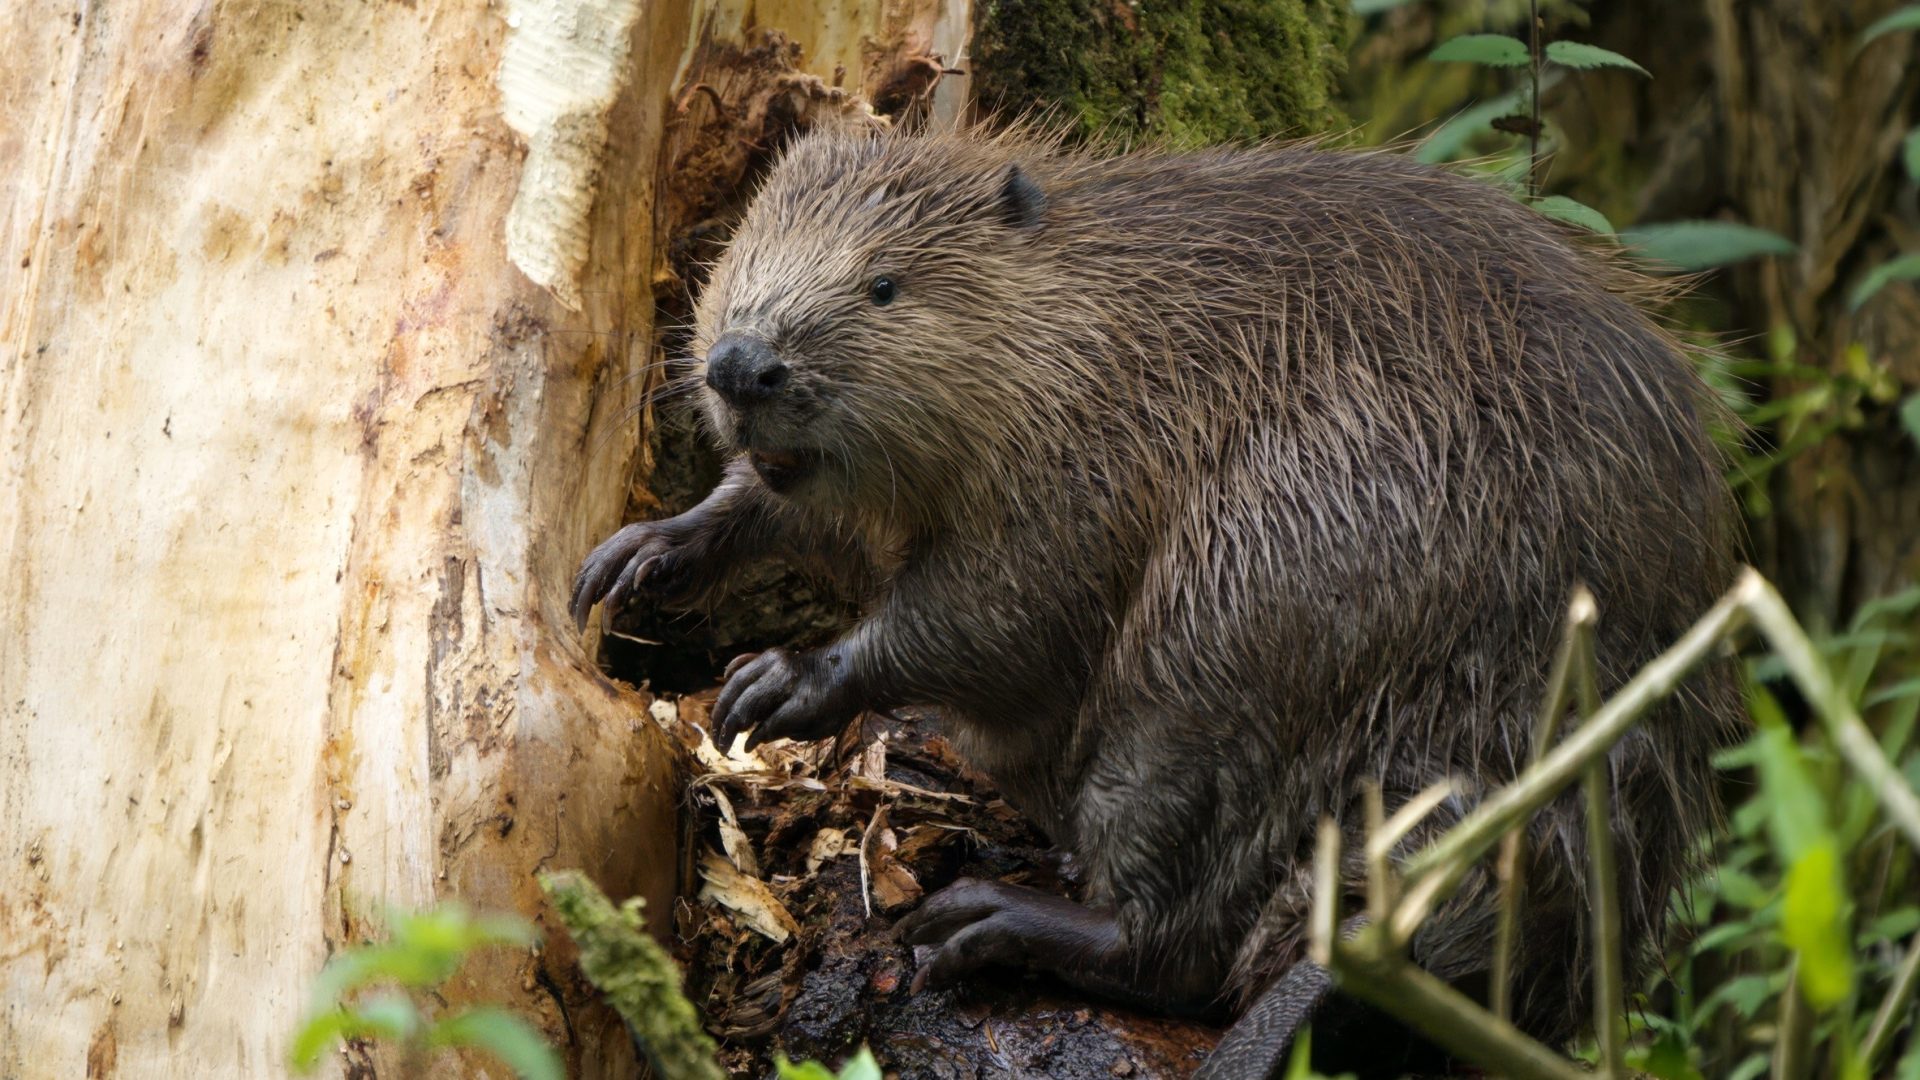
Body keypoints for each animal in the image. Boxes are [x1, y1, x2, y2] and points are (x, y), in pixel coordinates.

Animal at [568, 127, 1743, 1076]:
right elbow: (789, 511)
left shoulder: (1088, 452)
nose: (741, 364)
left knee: (1177, 941)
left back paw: (986, 914)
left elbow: (998, 606)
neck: (1094, 316)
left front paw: (777, 685)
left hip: (1235, 630)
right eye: (742, 255)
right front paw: (640, 555)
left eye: (885, 286)